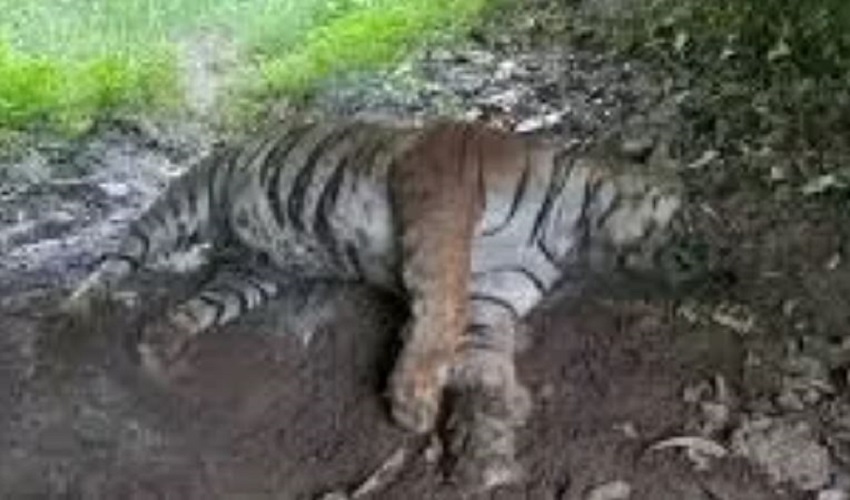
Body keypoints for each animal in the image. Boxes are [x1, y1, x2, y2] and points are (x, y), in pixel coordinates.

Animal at [60, 117, 682, 489]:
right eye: (687, 212)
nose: (704, 262)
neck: (572, 232)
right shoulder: (439, 187)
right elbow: (441, 299)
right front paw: (413, 402)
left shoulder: (494, 295)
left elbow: (484, 361)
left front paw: (487, 446)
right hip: (179, 205)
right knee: (116, 257)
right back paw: (73, 314)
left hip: (251, 276)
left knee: (192, 308)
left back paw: (159, 346)